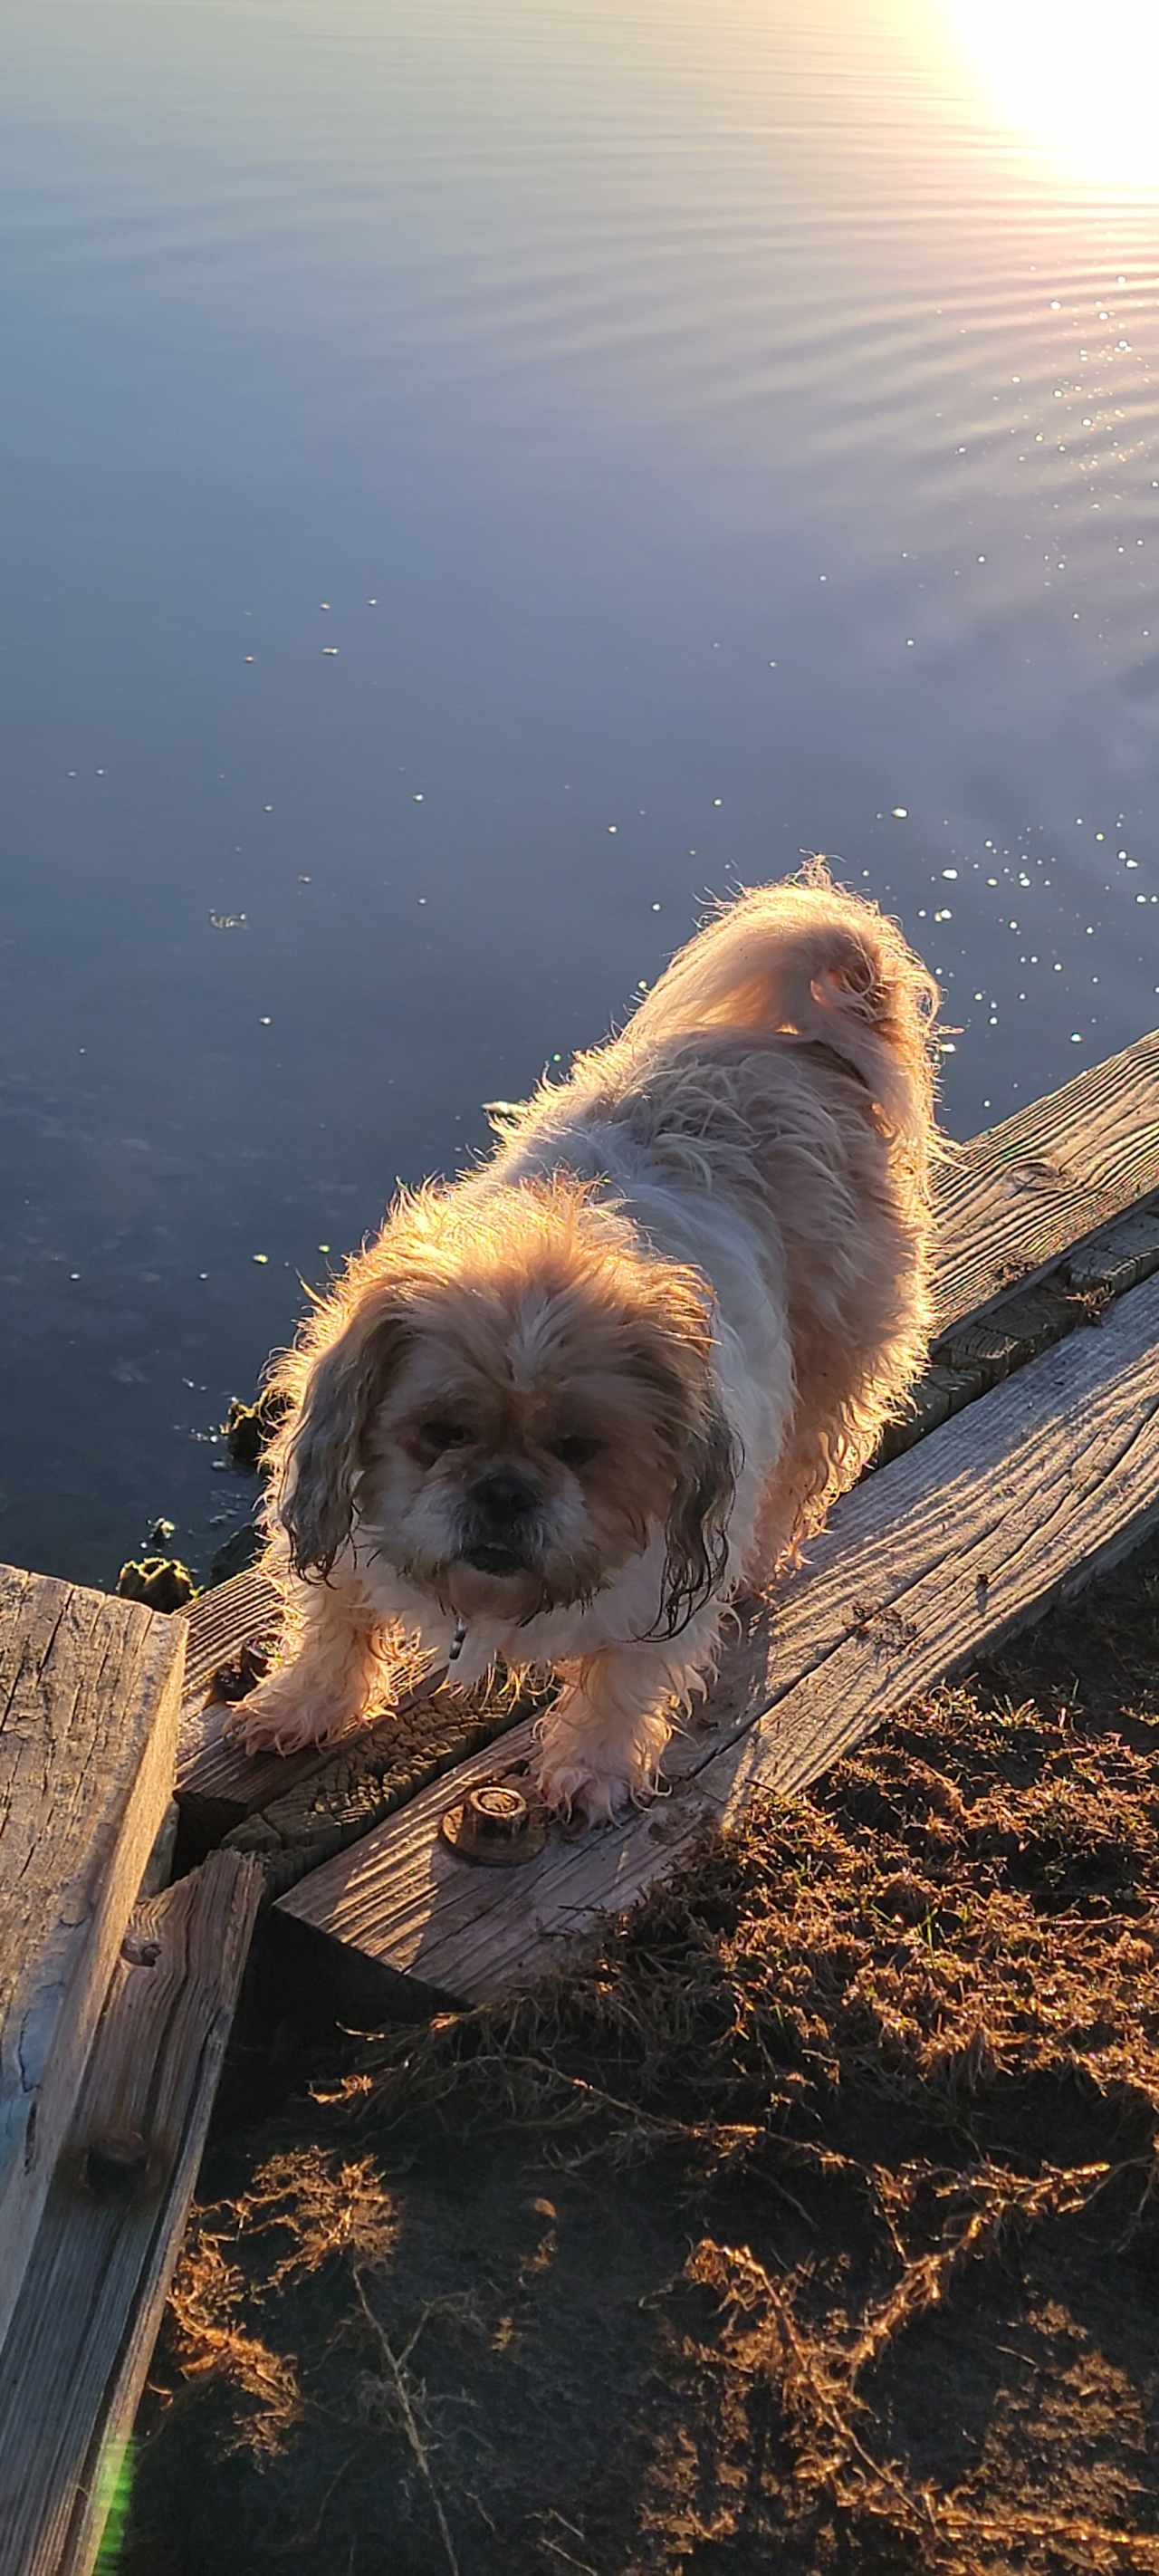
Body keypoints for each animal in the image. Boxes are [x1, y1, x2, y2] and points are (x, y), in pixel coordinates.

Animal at [239, 860, 937, 1813]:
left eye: (580, 1449)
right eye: (440, 1436)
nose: (503, 1491)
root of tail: (805, 1051)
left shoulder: (667, 1584)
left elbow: (623, 1681)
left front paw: (592, 1767)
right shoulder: (344, 1538)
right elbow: (335, 1627)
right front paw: (301, 1706)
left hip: (832, 1368)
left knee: (797, 1480)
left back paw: (761, 1567)